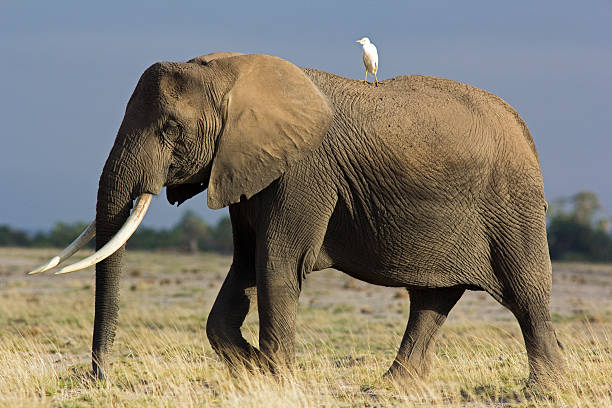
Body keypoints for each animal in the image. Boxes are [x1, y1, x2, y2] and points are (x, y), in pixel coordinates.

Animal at [29, 49, 564, 388]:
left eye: (170, 128)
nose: (98, 377)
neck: (233, 73)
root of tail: (526, 130)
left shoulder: (303, 172)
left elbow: (277, 265)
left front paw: (276, 376)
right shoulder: (245, 168)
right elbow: (244, 267)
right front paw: (257, 371)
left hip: (511, 204)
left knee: (526, 294)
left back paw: (542, 390)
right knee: (432, 298)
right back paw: (394, 387)